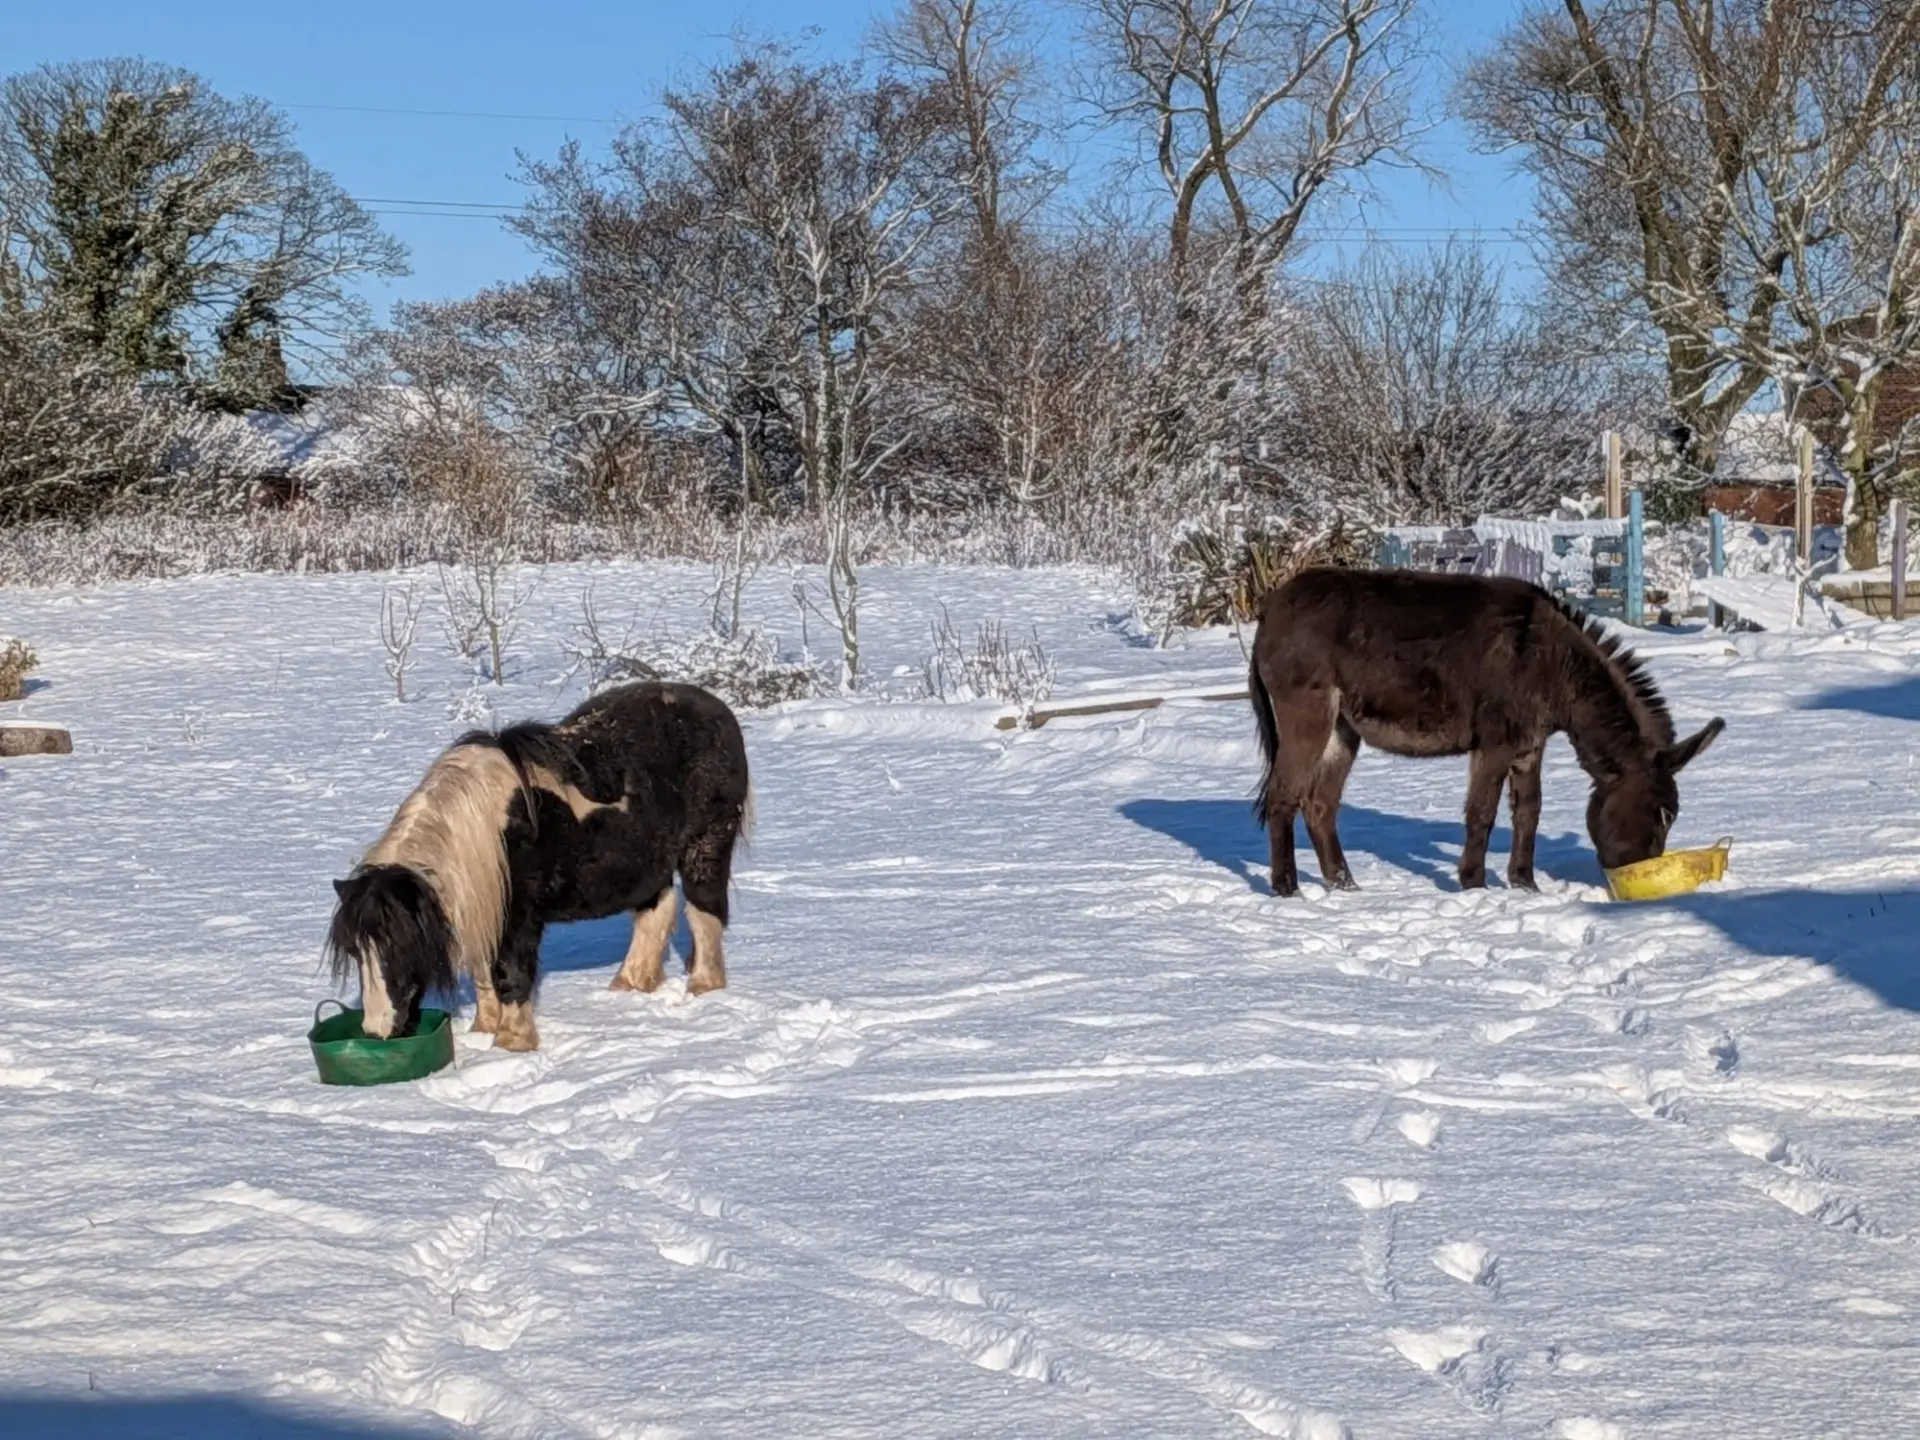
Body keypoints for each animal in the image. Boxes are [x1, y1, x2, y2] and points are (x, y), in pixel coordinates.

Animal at [326, 681, 752, 1051]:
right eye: (354, 952)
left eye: (399, 947)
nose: (377, 1030)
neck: (486, 828)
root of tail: (717, 711)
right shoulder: (482, 905)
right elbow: (484, 974)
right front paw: (484, 1029)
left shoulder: (518, 919)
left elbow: (511, 973)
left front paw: (512, 1043)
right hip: (649, 866)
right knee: (655, 915)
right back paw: (629, 985)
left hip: (705, 848)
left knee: (703, 915)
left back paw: (702, 989)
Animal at [1248, 568, 1723, 897]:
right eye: (1664, 814)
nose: (1636, 877)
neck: (1557, 667)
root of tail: (1270, 607)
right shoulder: (1495, 743)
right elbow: (1483, 812)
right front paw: (1474, 884)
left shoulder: (1529, 746)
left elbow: (1528, 812)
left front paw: (1525, 885)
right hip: (1307, 713)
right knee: (1283, 796)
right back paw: (1287, 888)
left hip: (1343, 728)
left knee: (1319, 803)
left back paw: (1343, 885)